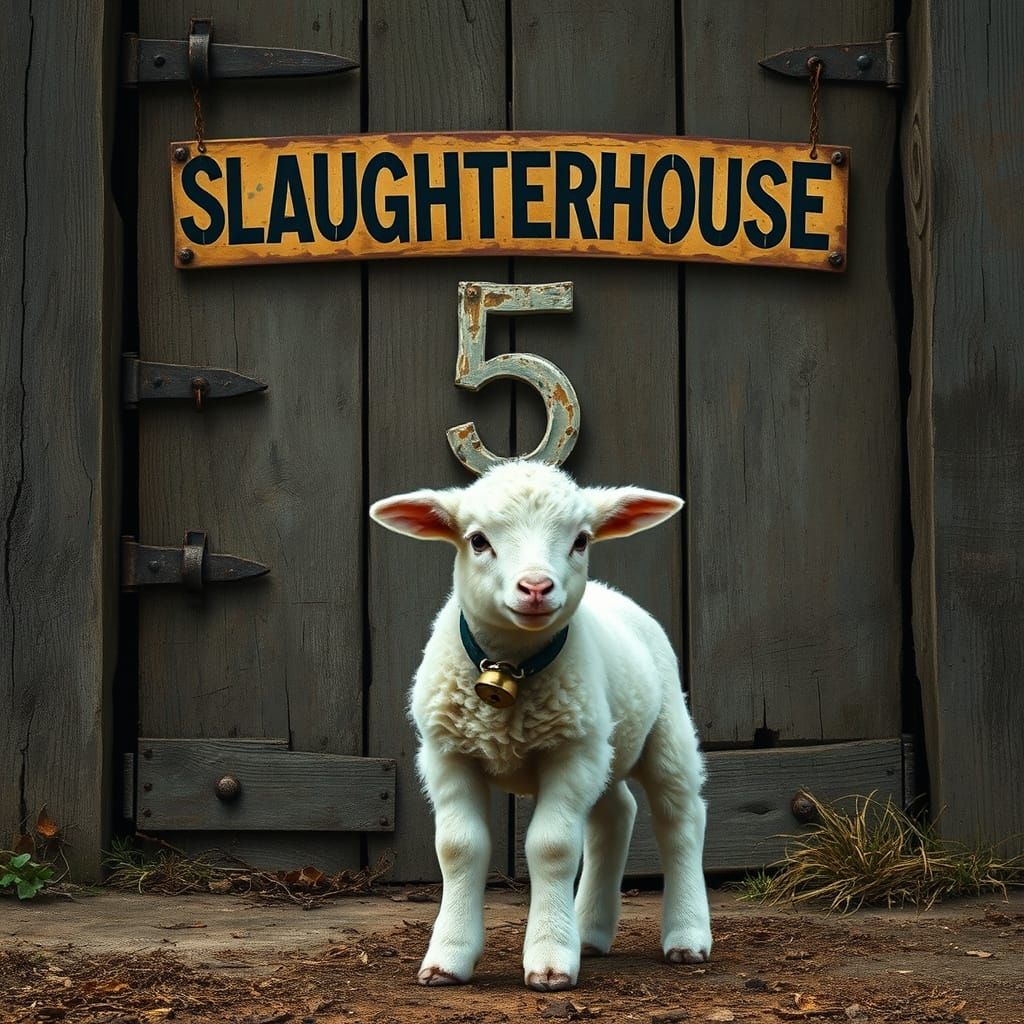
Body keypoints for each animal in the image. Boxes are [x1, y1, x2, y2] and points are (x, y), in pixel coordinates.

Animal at [369, 460, 711, 992]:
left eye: (581, 540)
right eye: (478, 540)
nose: (535, 588)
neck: (510, 669)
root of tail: (614, 596)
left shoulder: (569, 753)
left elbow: (552, 847)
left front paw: (550, 959)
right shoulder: (447, 753)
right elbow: (459, 848)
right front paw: (447, 958)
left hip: (665, 731)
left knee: (680, 819)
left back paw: (687, 935)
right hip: (602, 746)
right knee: (615, 816)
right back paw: (589, 933)